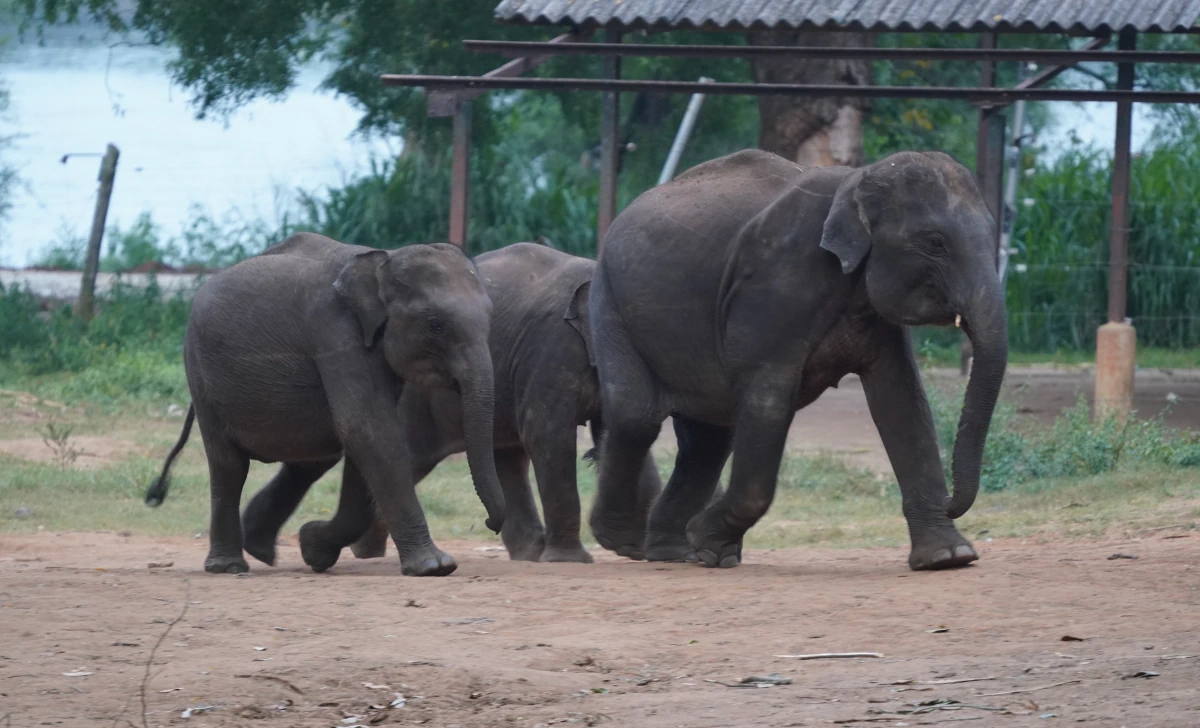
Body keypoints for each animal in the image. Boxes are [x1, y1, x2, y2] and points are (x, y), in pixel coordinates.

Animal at [144, 233, 506, 575]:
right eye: (436, 324)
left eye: (491, 319)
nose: (490, 524)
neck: (384, 260)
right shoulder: (336, 334)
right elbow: (368, 429)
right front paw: (435, 568)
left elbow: (366, 439)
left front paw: (313, 548)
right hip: (201, 372)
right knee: (229, 465)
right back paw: (229, 566)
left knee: (311, 460)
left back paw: (261, 549)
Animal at [237, 242, 662, 573]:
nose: (487, 524)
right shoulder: (554, 349)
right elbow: (547, 433)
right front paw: (572, 561)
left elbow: (622, 428)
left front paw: (634, 549)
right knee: (411, 457)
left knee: (503, 457)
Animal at [585, 151, 1008, 573]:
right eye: (935, 243)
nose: (952, 504)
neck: (857, 181)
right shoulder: (776, 284)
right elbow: (768, 401)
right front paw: (707, 541)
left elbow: (902, 401)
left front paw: (948, 558)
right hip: (611, 306)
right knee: (638, 418)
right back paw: (624, 540)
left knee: (707, 440)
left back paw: (674, 551)